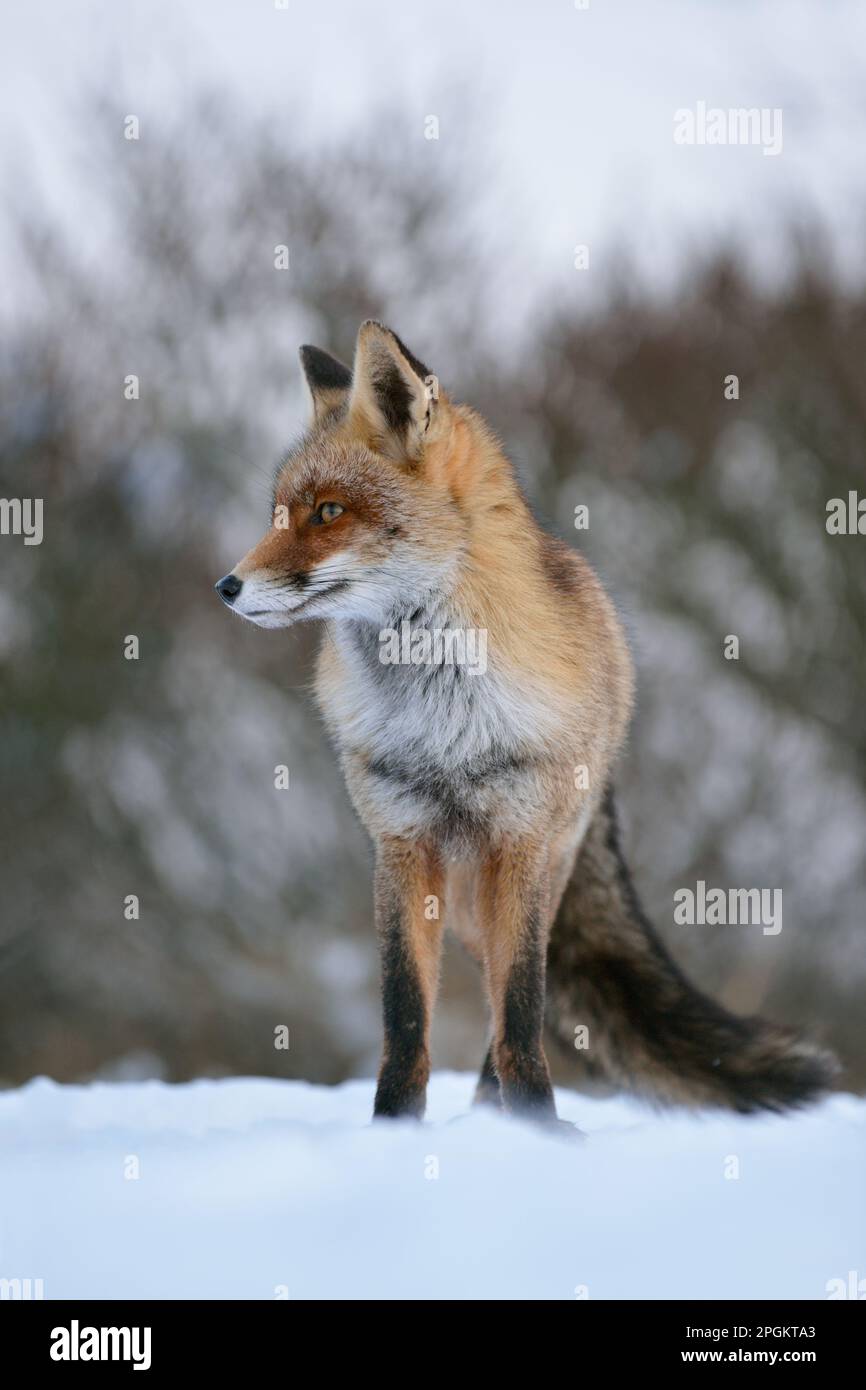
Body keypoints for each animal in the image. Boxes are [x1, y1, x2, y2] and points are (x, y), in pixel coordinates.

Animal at [216, 319, 839, 1123]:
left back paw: (499, 1114)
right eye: (279, 513)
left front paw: (537, 1130)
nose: (227, 586)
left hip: (539, 866)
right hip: (468, 897)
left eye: (328, 512)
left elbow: (518, 1009)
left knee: (518, 995)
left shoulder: (518, 843)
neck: (445, 723)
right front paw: (393, 1130)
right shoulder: (401, 845)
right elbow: (405, 1015)